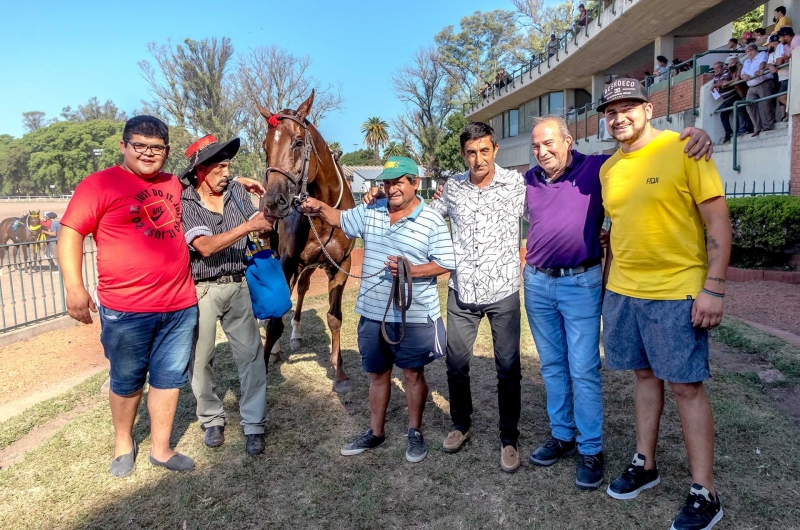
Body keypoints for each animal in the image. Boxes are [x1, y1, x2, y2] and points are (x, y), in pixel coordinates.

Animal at [258, 88, 354, 390]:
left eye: (298, 142)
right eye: (265, 146)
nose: (273, 203)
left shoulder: (341, 266)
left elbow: (334, 318)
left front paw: (339, 370)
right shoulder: (287, 261)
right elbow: (275, 322)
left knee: (301, 289)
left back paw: (296, 335)